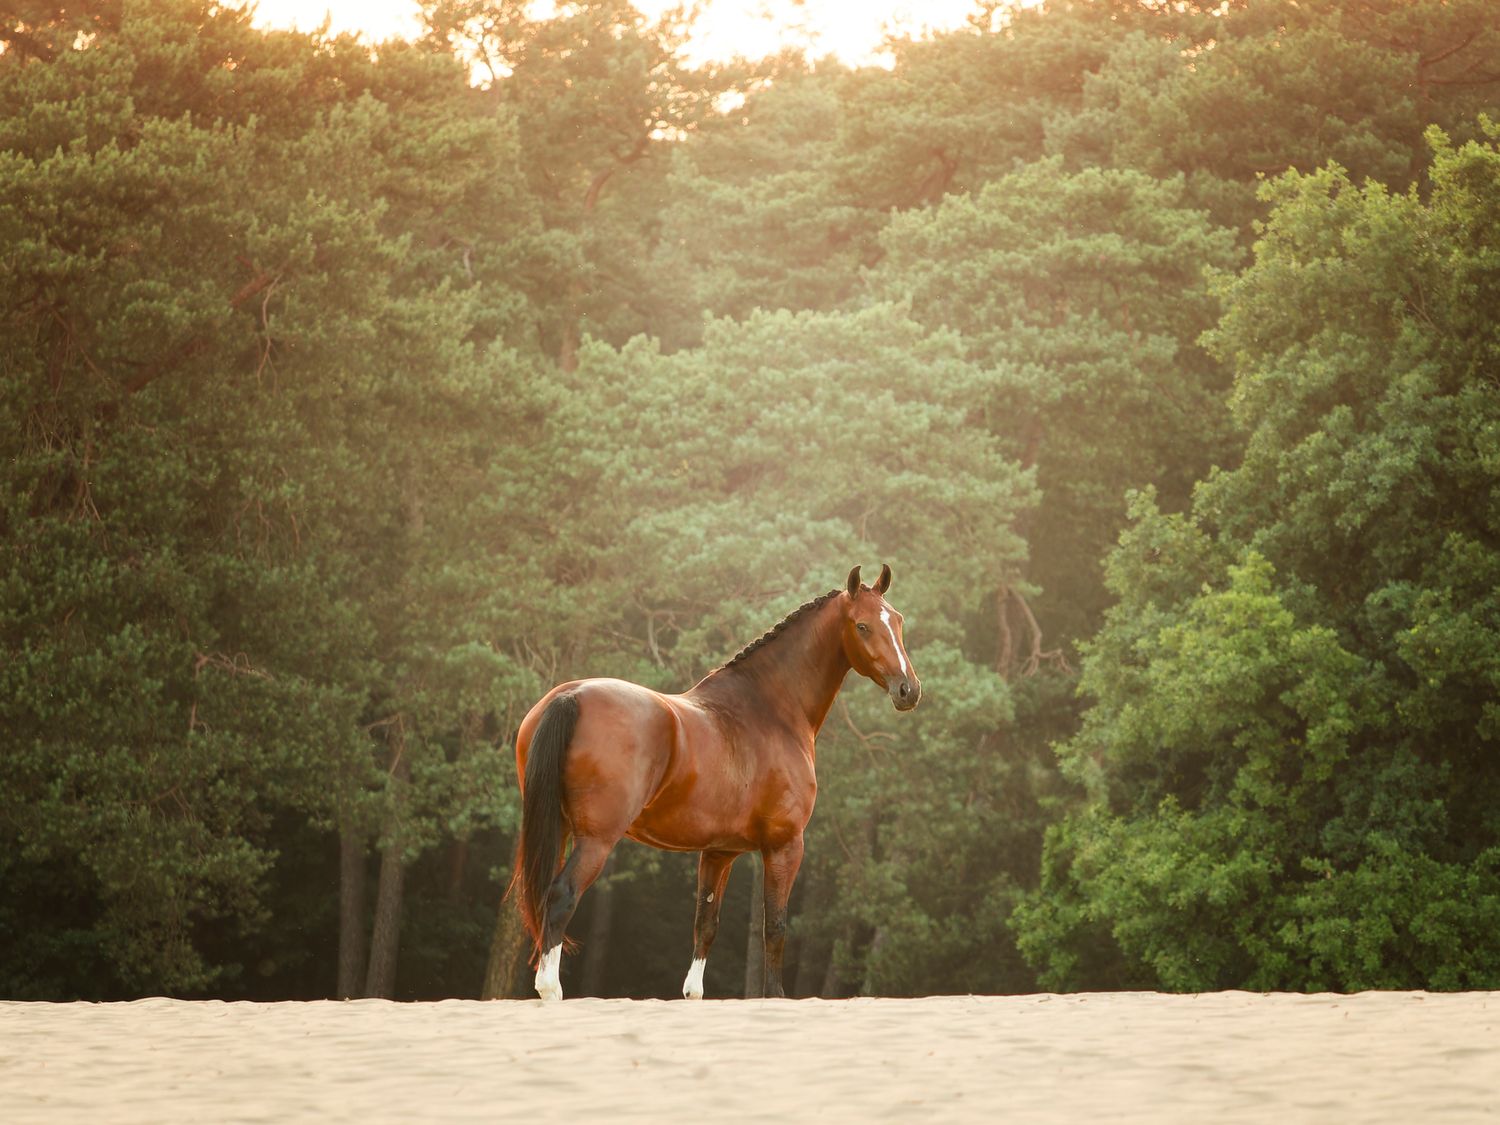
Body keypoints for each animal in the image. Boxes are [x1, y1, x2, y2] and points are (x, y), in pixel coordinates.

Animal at [508, 563, 921, 1001]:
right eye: (862, 626)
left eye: (897, 621)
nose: (908, 690)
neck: (770, 710)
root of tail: (570, 696)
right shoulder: (784, 845)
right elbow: (774, 927)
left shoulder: (719, 852)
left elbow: (705, 927)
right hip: (595, 840)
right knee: (561, 897)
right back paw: (550, 989)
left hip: (559, 829)